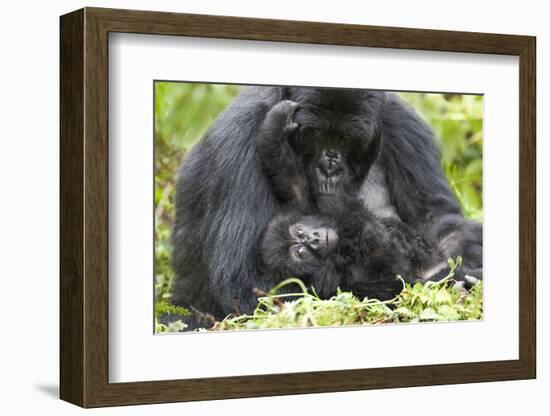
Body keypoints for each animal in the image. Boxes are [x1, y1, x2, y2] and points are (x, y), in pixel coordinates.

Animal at [170, 86, 480, 320]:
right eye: (317, 133)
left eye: (345, 139)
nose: (329, 166)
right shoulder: (240, 131)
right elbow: (247, 288)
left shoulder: (399, 119)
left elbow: (439, 219)